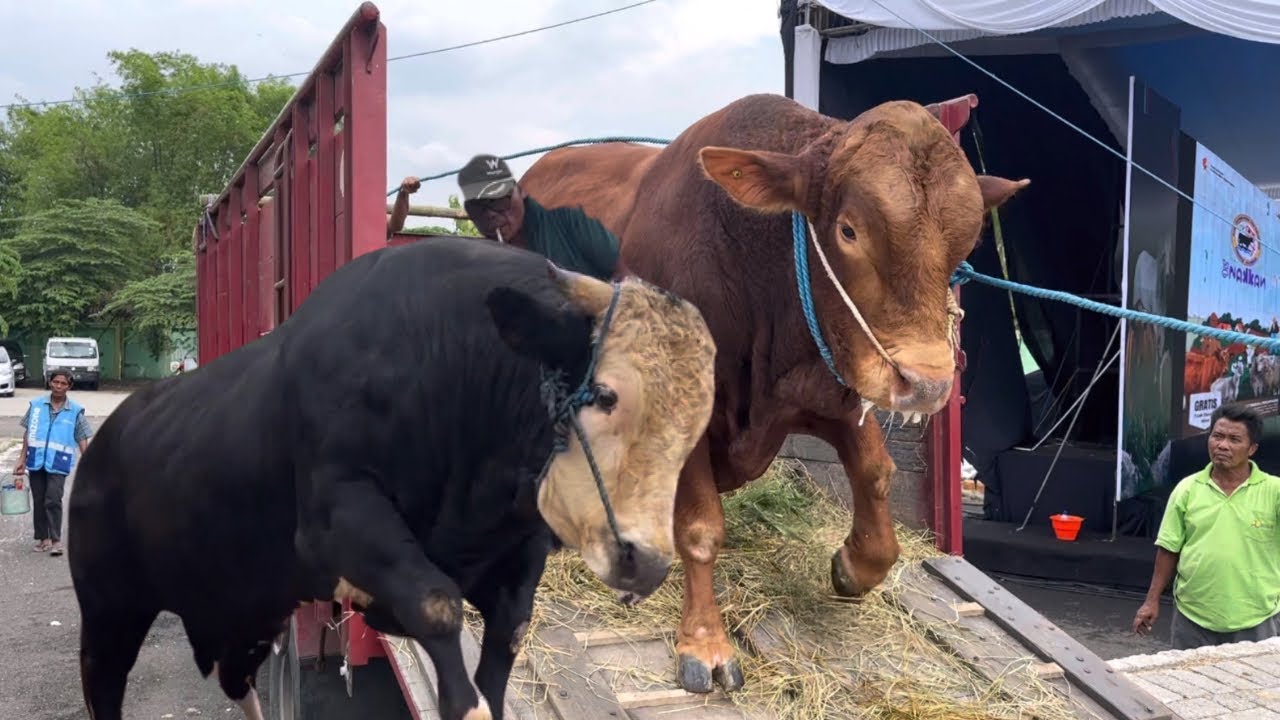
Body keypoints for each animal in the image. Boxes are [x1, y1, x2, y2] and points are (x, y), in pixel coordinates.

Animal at [66, 236, 717, 720]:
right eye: (606, 394)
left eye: (699, 424)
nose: (646, 562)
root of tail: (105, 436)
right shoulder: (339, 518)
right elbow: (439, 607)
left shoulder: (516, 553)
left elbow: (504, 647)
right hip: (108, 613)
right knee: (104, 689)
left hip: (245, 611)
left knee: (237, 680)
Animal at [519, 93, 1028, 693]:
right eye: (849, 230)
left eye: (965, 244)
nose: (925, 382)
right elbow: (700, 529)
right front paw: (705, 642)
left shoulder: (826, 388)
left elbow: (876, 475)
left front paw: (854, 566)